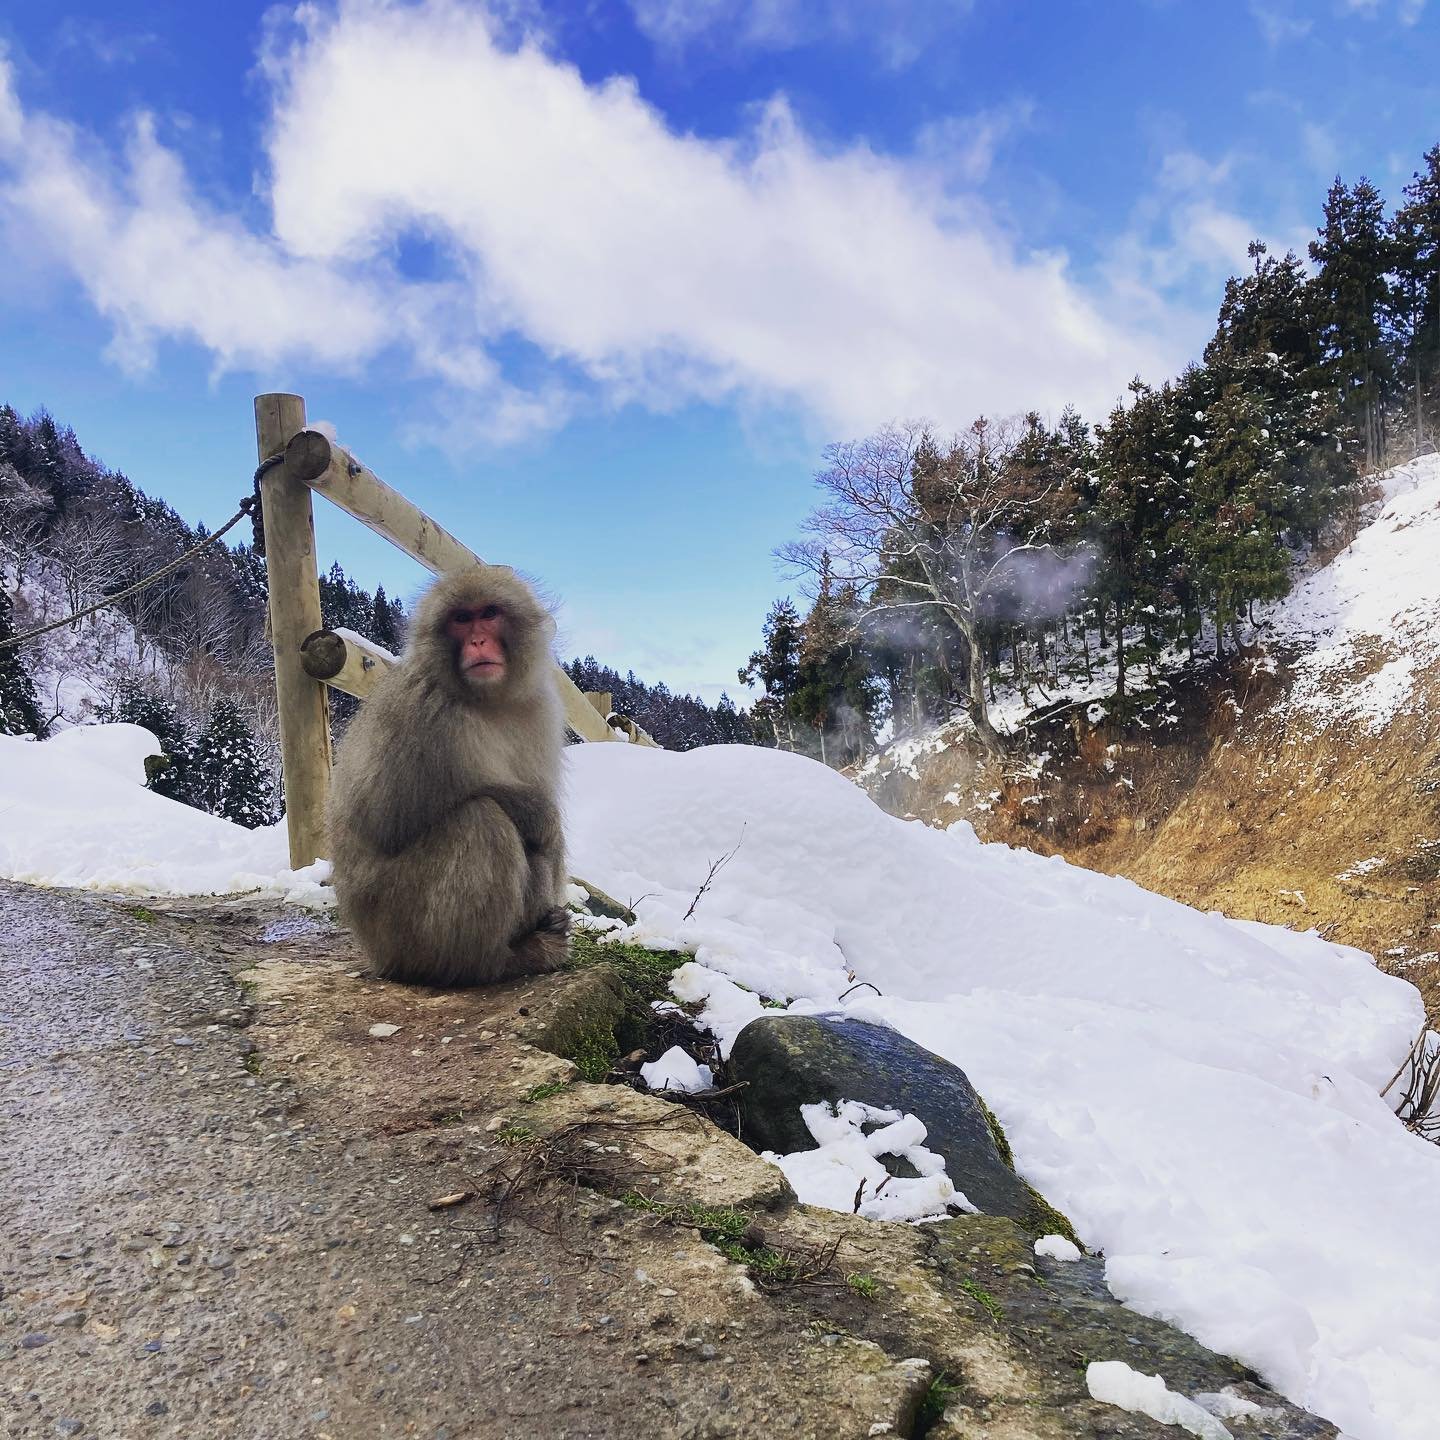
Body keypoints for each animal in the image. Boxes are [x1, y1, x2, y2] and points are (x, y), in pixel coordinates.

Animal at [327, 564, 570, 986]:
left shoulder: (538, 707)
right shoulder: (422, 711)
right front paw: (541, 813)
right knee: (482, 819)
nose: (477, 640)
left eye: (489, 613)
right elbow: (385, 817)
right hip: (400, 927)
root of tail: (376, 955)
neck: (486, 701)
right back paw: (491, 962)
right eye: (461, 619)